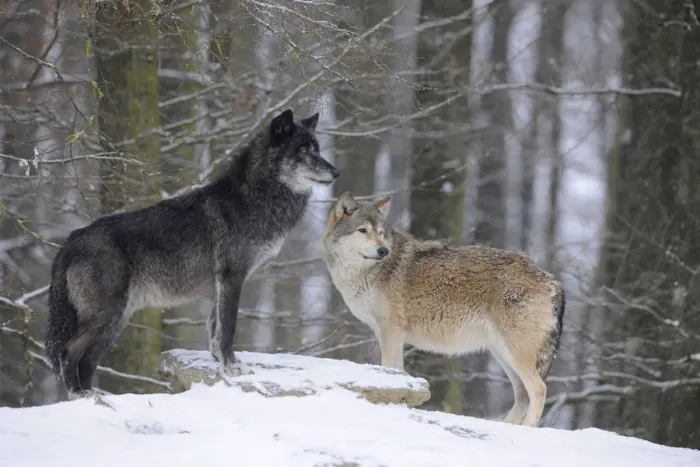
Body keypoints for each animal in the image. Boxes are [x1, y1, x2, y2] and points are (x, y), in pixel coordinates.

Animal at [45, 108, 338, 399]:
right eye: (303, 151)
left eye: (317, 148)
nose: (336, 172)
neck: (252, 197)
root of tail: (72, 239)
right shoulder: (232, 278)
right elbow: (228, 328)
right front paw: (232, 368)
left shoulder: (222, 284)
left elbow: (215, 328)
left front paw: (219, 363)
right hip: (106, 316)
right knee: (70, 351)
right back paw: (80, 395)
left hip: (116, 320)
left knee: (88, 358)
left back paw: (92, 396)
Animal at [322, 192, 565, 427]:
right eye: (362, 230)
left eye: (381, 232)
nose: (383, 250)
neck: (368, 272)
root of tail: (552, 280)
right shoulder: (388, 335)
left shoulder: (392, 332)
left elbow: (390, 367)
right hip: (502, 354)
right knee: (523, 395)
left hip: (515, 354)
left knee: (539, 389)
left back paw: (528, 427)